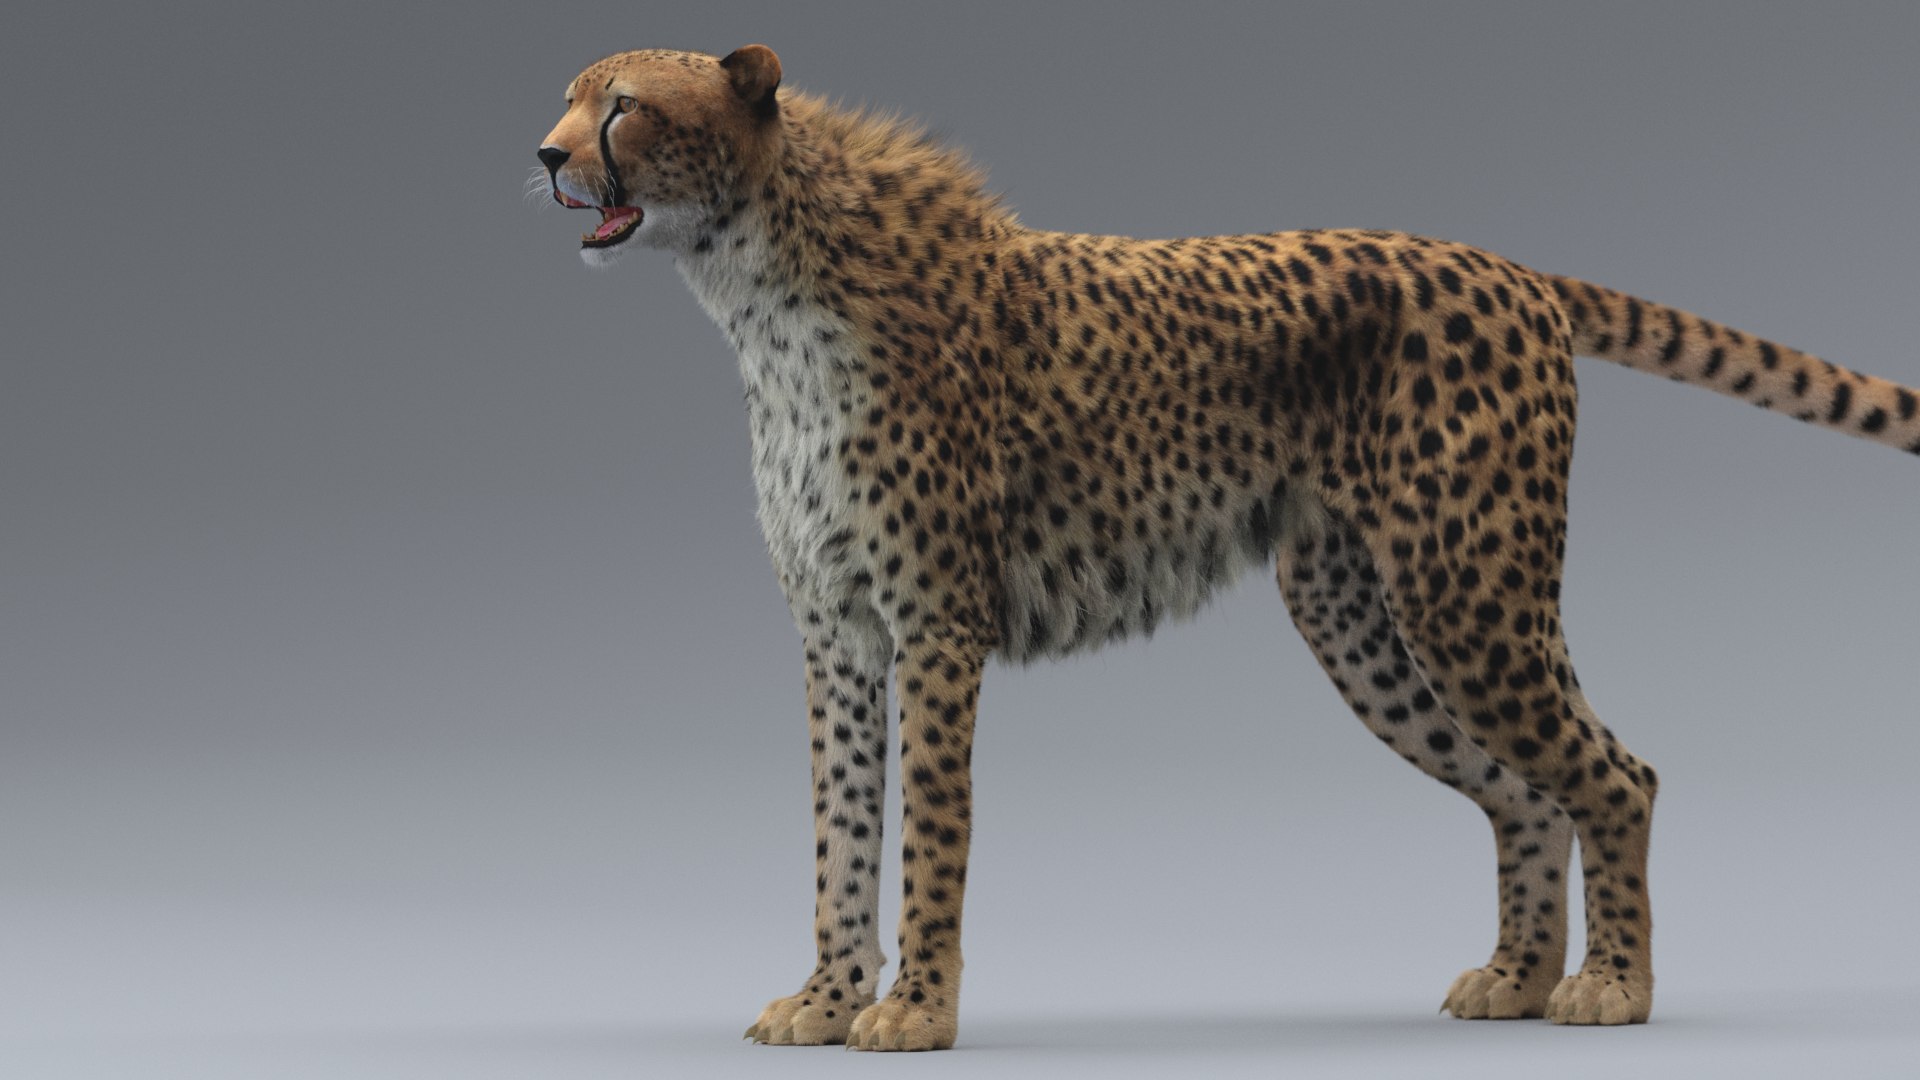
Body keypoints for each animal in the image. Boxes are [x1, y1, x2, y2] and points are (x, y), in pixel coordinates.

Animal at [533, 44, 1920, 1050]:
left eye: (626, 108)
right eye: (571, 94)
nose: (542, 155)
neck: (763, 282)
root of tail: (1506, 266)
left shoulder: (935, 628)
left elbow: (927, 833)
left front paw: (914, 1012)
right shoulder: (837, 637)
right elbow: (840, 833)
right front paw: (826, 1002)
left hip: (1469, 588)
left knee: (1616, 775)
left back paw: (1614, 989)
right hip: (1368, 619)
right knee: (1527, 791)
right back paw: (1518, 979)